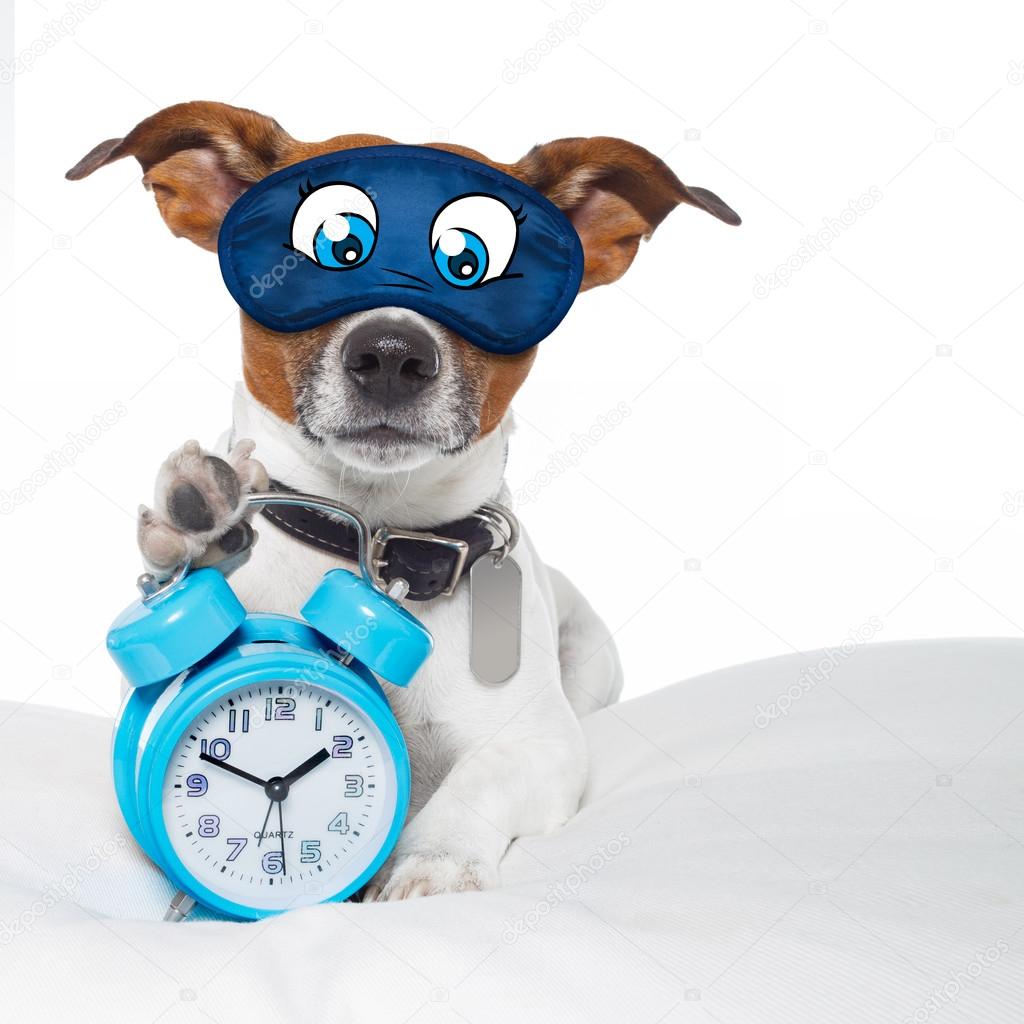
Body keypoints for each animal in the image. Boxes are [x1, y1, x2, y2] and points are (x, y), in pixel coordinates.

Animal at [68, 103, 741, 901]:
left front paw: (432, 862)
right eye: (325, 252)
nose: (391, 352)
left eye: (473, 270)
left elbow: (477, 780)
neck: (378, 539)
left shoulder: (545, 744)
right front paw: (202, 522)